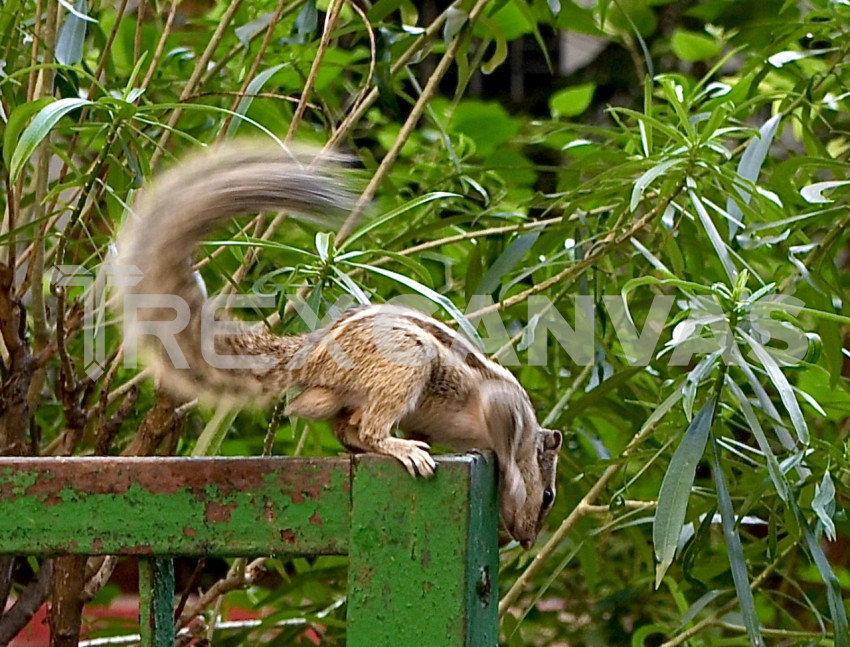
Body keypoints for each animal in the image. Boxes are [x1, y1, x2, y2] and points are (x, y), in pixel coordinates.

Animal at [116, 142, 560, 548]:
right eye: (549, 496)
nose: (526, 542)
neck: (525, 433)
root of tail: (310, 357)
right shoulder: (503, 405)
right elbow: (505, 445)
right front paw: (508, 476)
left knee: (345, 428)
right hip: (406, 364)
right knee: (368, 427)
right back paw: (403, 448)